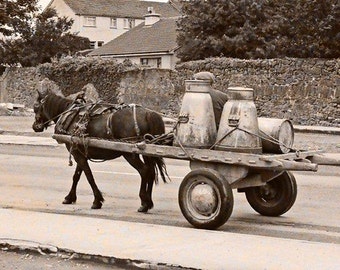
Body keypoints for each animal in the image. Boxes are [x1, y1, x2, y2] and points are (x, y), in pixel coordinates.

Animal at [32, 88, 168, 213]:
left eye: (36, 107)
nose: (35, 126)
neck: (70, 116)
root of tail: (148, 114)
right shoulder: (80, 152)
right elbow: (76, 176)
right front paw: (70, 197)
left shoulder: (77, 154)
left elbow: (89, 176)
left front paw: (97, 201)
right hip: (147, 152)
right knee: (151, 172)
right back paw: (149, 202)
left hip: (130, 154)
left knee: (144, 171)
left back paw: (144, 203)